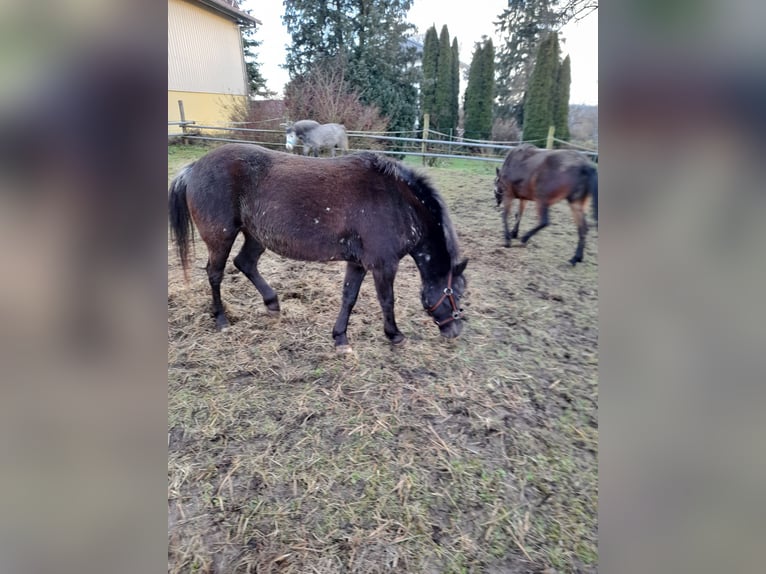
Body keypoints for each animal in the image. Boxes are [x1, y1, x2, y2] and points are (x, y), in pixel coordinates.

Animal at [168, 143, 468, 351]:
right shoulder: (383, 265)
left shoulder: (358, 263)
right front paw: (394, 335)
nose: (455, 331)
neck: (398, 203)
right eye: (457, 293)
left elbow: (349, 297)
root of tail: (193, 168)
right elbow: (387, 300)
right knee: (215, 274)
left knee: (245, 263)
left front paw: (340, 338)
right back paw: (221, 319)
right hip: (221, 238)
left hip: (256, 236)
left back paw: (272, 303)